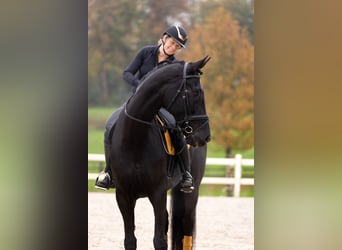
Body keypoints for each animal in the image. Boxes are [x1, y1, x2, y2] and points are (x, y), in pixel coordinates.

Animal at [111, 57, 210, 250]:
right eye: (196, 92)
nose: (205, 135)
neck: (135, 137)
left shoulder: (157, 193)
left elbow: (159, 241)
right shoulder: (123, 196)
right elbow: (130, 240)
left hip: (191, 193)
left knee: (186, 230)